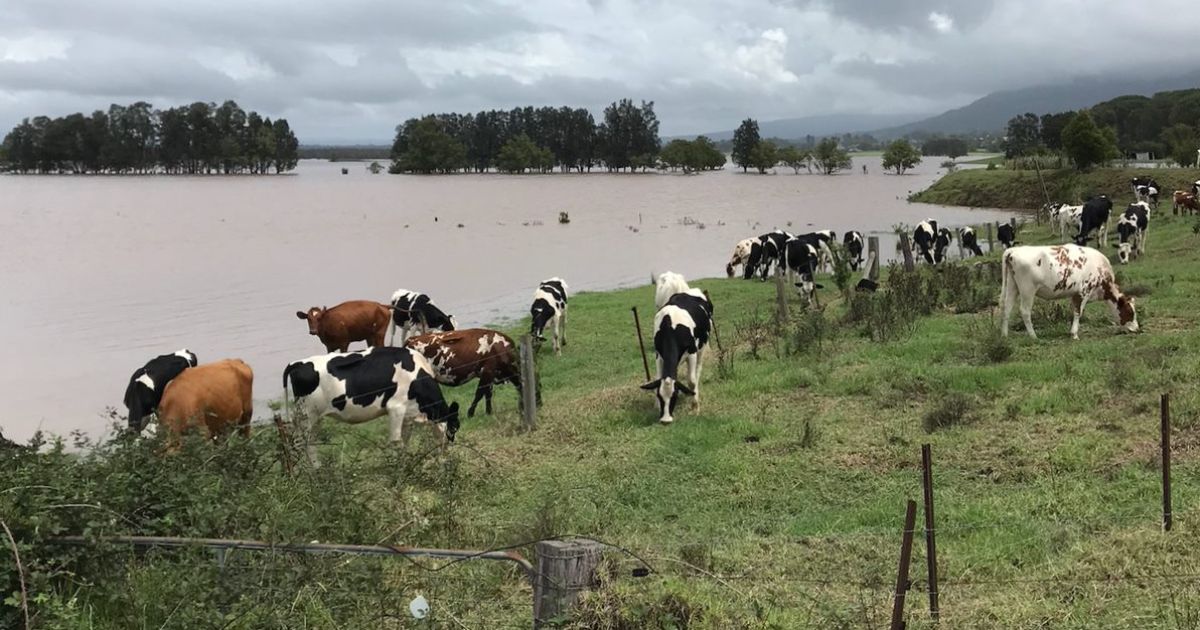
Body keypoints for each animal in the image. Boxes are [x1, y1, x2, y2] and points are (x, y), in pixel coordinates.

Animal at [283, 343, 460, 460]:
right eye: (454, 427)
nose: (448, 454)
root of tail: (296, 363)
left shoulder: (407, 415)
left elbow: (406, 439)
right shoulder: (396, 408)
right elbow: (396, 441)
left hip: (313, 418)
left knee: (308, 444)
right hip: (307, 416)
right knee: (301, 444)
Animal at [638, 289, 710, 424]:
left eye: (674, 396)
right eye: (660, 396)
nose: (666, 420)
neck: (671, 327)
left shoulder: (692, 352)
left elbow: (691, 381)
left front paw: (695, 406)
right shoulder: (659, 355)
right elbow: (658, 377)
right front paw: (656, 405)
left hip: (702, 347)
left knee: (697, 371)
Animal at [998, 244, 1137, 340]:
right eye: (1130, 312)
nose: (1136, 328)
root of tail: (1013, 250)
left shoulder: (1074, 294)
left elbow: (1074, 311)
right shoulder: (1084, 292)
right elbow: (1078, 312)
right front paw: (1074, 334)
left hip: (1012, 287)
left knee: (1006, 309)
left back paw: (1004, 336)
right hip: (1028, 290)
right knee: (1025, 312)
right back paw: (1033, 336)